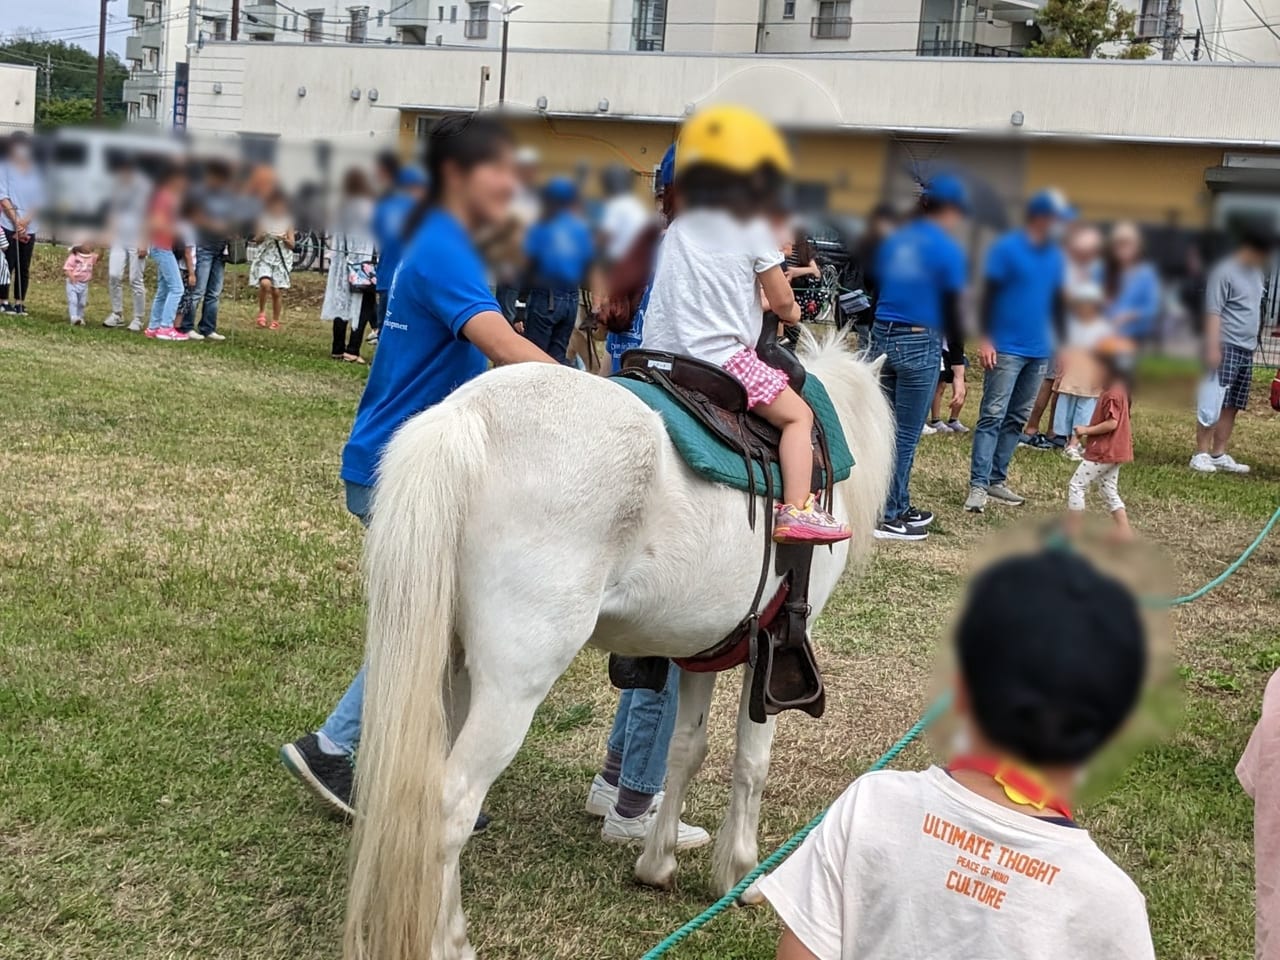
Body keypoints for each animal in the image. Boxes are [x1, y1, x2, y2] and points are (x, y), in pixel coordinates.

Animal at [345, 332, 896, 960]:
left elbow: (686, 749)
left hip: (450, 667)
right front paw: (742, 876)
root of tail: (467, 418)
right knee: (449, 806)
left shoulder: (703, 648)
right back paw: (449, 943)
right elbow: (752, 762)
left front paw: (658, 862)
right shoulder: (776, 648)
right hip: (512, 687)